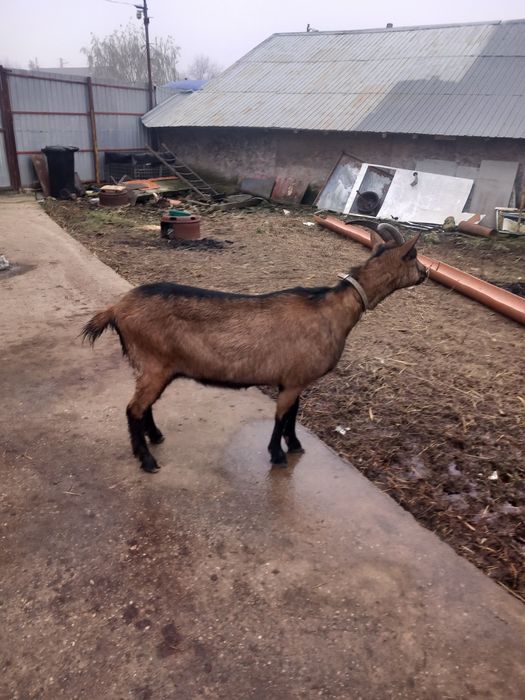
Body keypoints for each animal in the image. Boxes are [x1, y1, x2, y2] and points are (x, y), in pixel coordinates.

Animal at [82, 223, 427, 473]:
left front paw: (294, 444)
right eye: (413, 255)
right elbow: (281, 417)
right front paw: (278, 455)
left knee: (144, 406)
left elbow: (293, 415)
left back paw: (155, 436)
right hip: (153, 363)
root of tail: (116, 308)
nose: (425, 273)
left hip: (156, 367)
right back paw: (147, 460)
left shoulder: (294, 379)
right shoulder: (293, 381)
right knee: (133, 409)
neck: (333, 308)